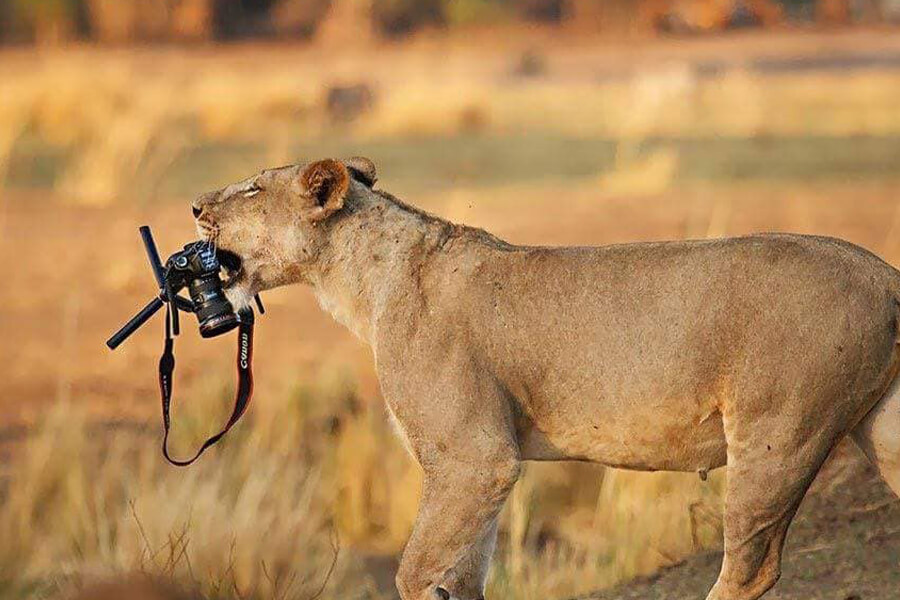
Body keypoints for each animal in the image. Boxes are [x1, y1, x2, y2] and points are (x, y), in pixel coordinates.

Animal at [192, 158, 900, 600]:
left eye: (254, 188)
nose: (195, 204)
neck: (363, 283)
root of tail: (886, 273)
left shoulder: (474, 457)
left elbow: (415, 571)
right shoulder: (480, 469)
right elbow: (460, 576)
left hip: (777, 439)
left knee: (750, 571)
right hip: (882, 430)